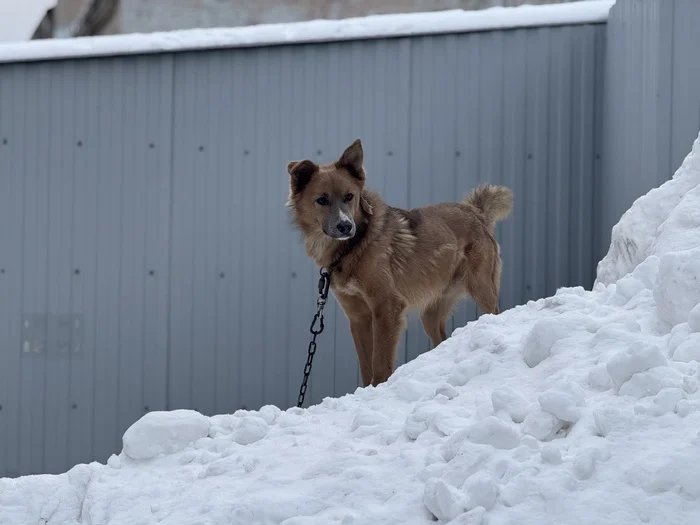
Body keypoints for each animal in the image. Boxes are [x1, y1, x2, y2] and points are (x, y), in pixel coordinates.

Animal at [288, 138, 512, 384]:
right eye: (322, 200)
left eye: (349, 196)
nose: (345, 226)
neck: (355, 245)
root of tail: (476, 212)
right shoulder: (358, 318)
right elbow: (366, 367)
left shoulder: (387, 307)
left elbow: (380, 364)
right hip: (431, 313)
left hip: (481, 287)